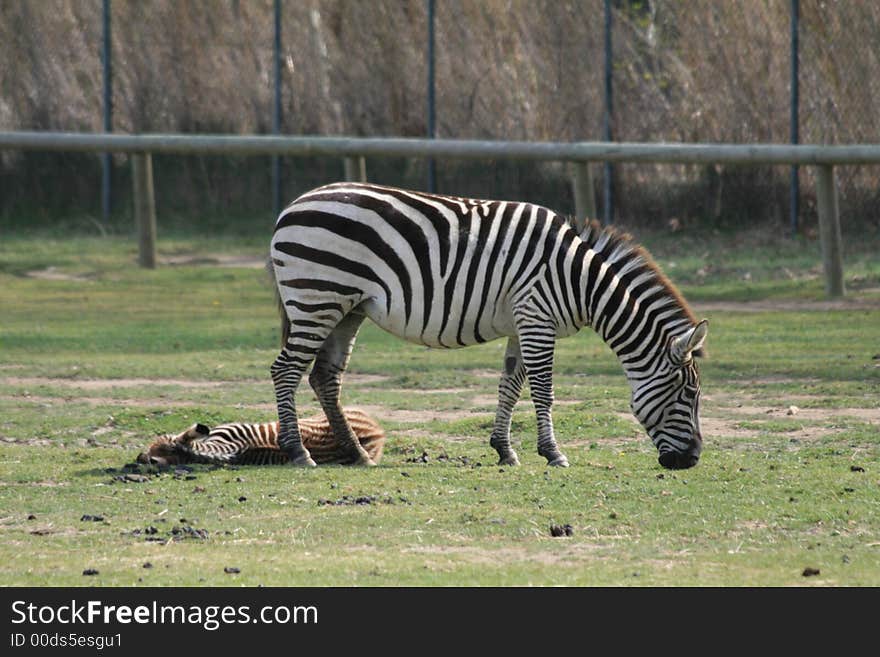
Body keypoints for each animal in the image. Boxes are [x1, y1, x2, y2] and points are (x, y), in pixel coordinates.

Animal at [272, 182, 712, 468]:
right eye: (689, 394)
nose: (692, 460)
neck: (581, 280)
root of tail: (293, 204)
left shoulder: (523, 323)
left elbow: (510, 386)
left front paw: (504, 449)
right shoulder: (537, 317)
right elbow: (543, 391)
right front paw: (553, 453)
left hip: (347, 307)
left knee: (324, 377)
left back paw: (358, 454)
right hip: (317, 298)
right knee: (285, 370)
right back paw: (298, 452)